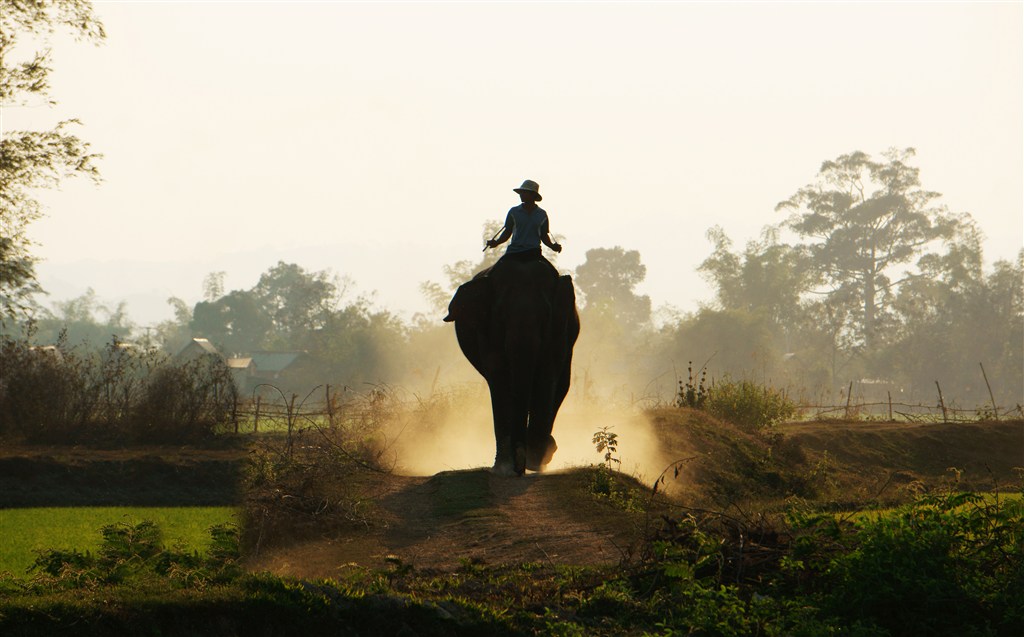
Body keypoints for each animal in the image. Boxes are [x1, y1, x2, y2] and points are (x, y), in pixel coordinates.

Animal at [444, 257, 581, 477]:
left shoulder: (559, 327)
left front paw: (534, 463)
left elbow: (547, 373)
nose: (520, 467)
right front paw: (504, 467)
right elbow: (498, 376)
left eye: (546, 314)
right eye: (500, 314)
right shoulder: (486, 330)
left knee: (561, 384)